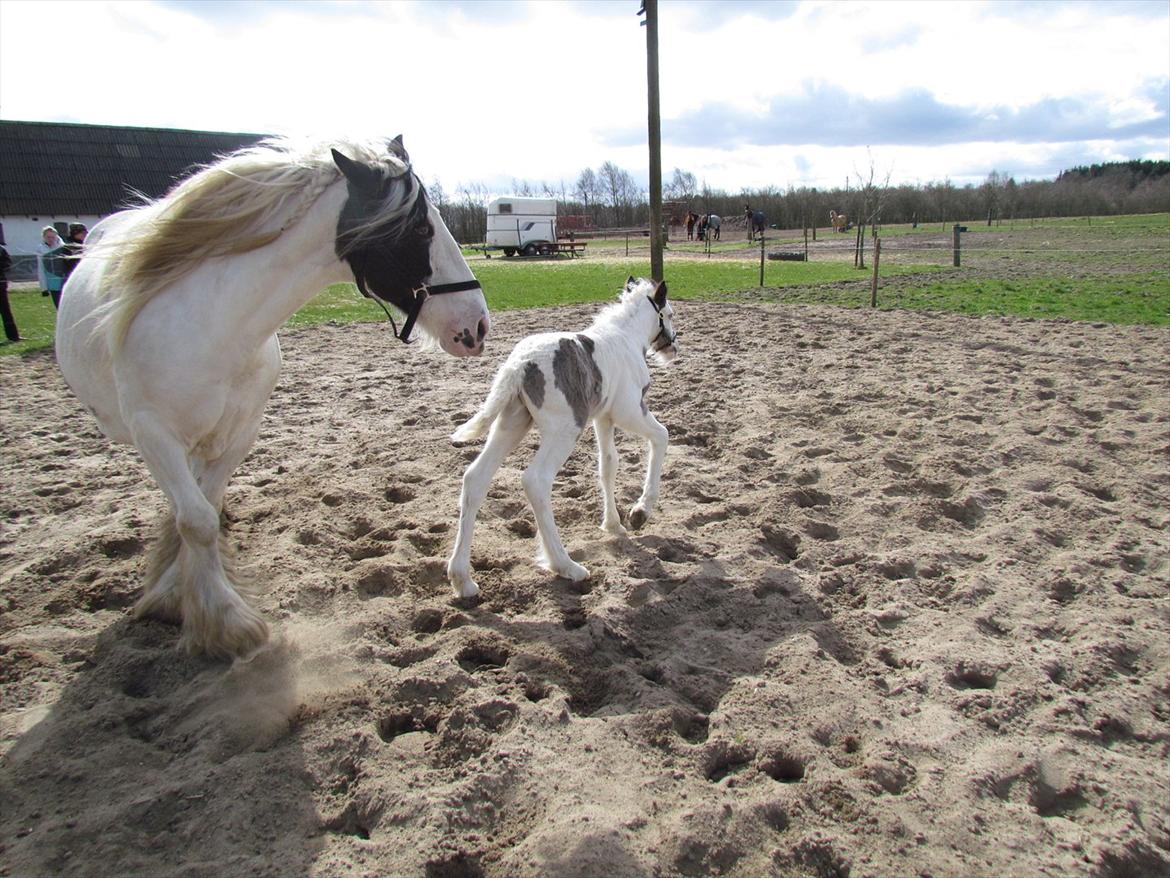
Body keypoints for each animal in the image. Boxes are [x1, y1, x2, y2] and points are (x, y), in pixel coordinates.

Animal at [57, 135, 486, 660]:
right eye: (422, 228)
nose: (478, 324)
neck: (216, 327)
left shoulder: (240, 434)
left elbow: (203, 513)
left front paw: (183, 596)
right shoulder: (153, 433)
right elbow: (195, 520)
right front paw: (223, 621)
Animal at [449, 278, 683, 604]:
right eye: (669, 313)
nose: (674, 346)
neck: (626, 338)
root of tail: (518, 366)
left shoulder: (604, 418)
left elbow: (608, 465)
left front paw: (613, 524)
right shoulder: (629, 411)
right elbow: (662, 436)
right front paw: (640, 512)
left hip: (511, 424)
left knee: (475, 478)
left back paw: (463, 580)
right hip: (564, 430)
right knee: (536, 480)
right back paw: (565, 565)